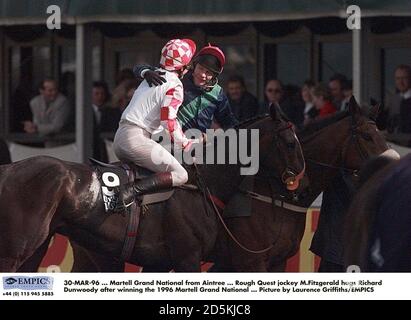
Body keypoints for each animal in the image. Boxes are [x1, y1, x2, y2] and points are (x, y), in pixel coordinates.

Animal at [0, 105, 306, 272]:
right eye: (291, 142)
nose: (297, 182)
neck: (201, 184)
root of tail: (10, 169)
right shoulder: (188, 257)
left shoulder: (159, 261)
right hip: (17, 250)